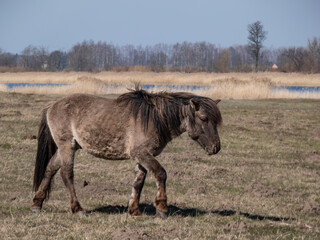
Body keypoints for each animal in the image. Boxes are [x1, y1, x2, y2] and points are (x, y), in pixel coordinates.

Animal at [31, 87, 222, 218]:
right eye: (204, 118)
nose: (216, 147)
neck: (154, 118)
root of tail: (52, 105)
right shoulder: (142, 154)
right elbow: (161, 174)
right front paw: (161, 208)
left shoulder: (143, 156)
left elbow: (138, 182)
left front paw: (134, 211)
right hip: (66, 146)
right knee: (66, 174)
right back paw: (78, 209)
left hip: (68, 147)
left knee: (50, 169)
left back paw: (36, 204)